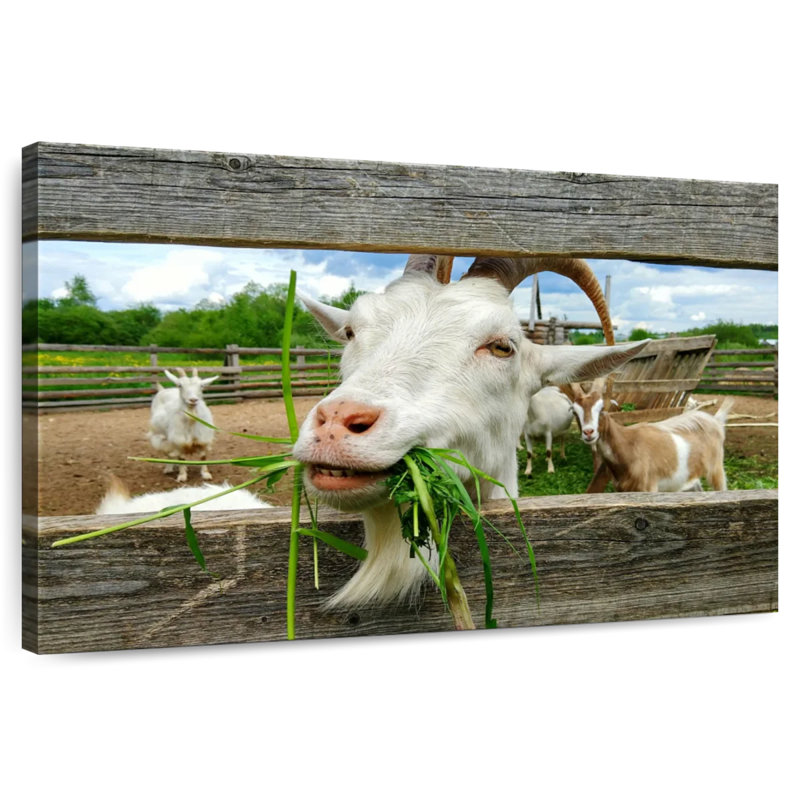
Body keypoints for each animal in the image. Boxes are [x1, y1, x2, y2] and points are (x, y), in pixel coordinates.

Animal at [567, 378, 733, 493]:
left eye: (601, 409)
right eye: (575, 411)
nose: (589, 432)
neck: (628, 444)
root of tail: (715, 420)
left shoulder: (649, 488)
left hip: (716, 469)